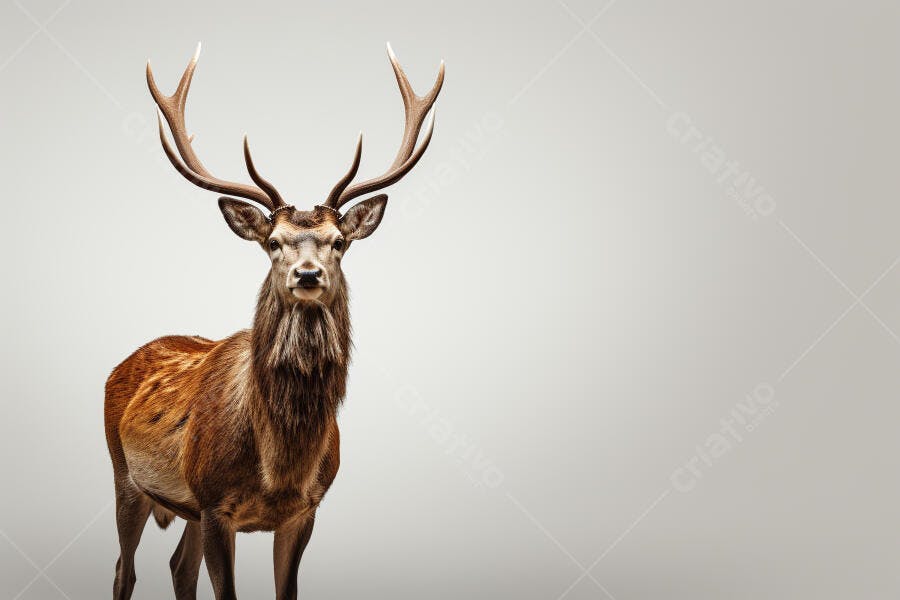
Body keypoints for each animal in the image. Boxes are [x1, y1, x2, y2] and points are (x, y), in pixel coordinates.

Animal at [104, 43, 443, 600]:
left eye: (338, 242)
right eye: (273, 242)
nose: (307, 273)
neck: (278, 469)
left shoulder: (305, 510)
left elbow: (287, 590)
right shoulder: (214, 504)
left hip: (183, 507)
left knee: (178, 566)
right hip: (125, 475)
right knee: (123, 569)